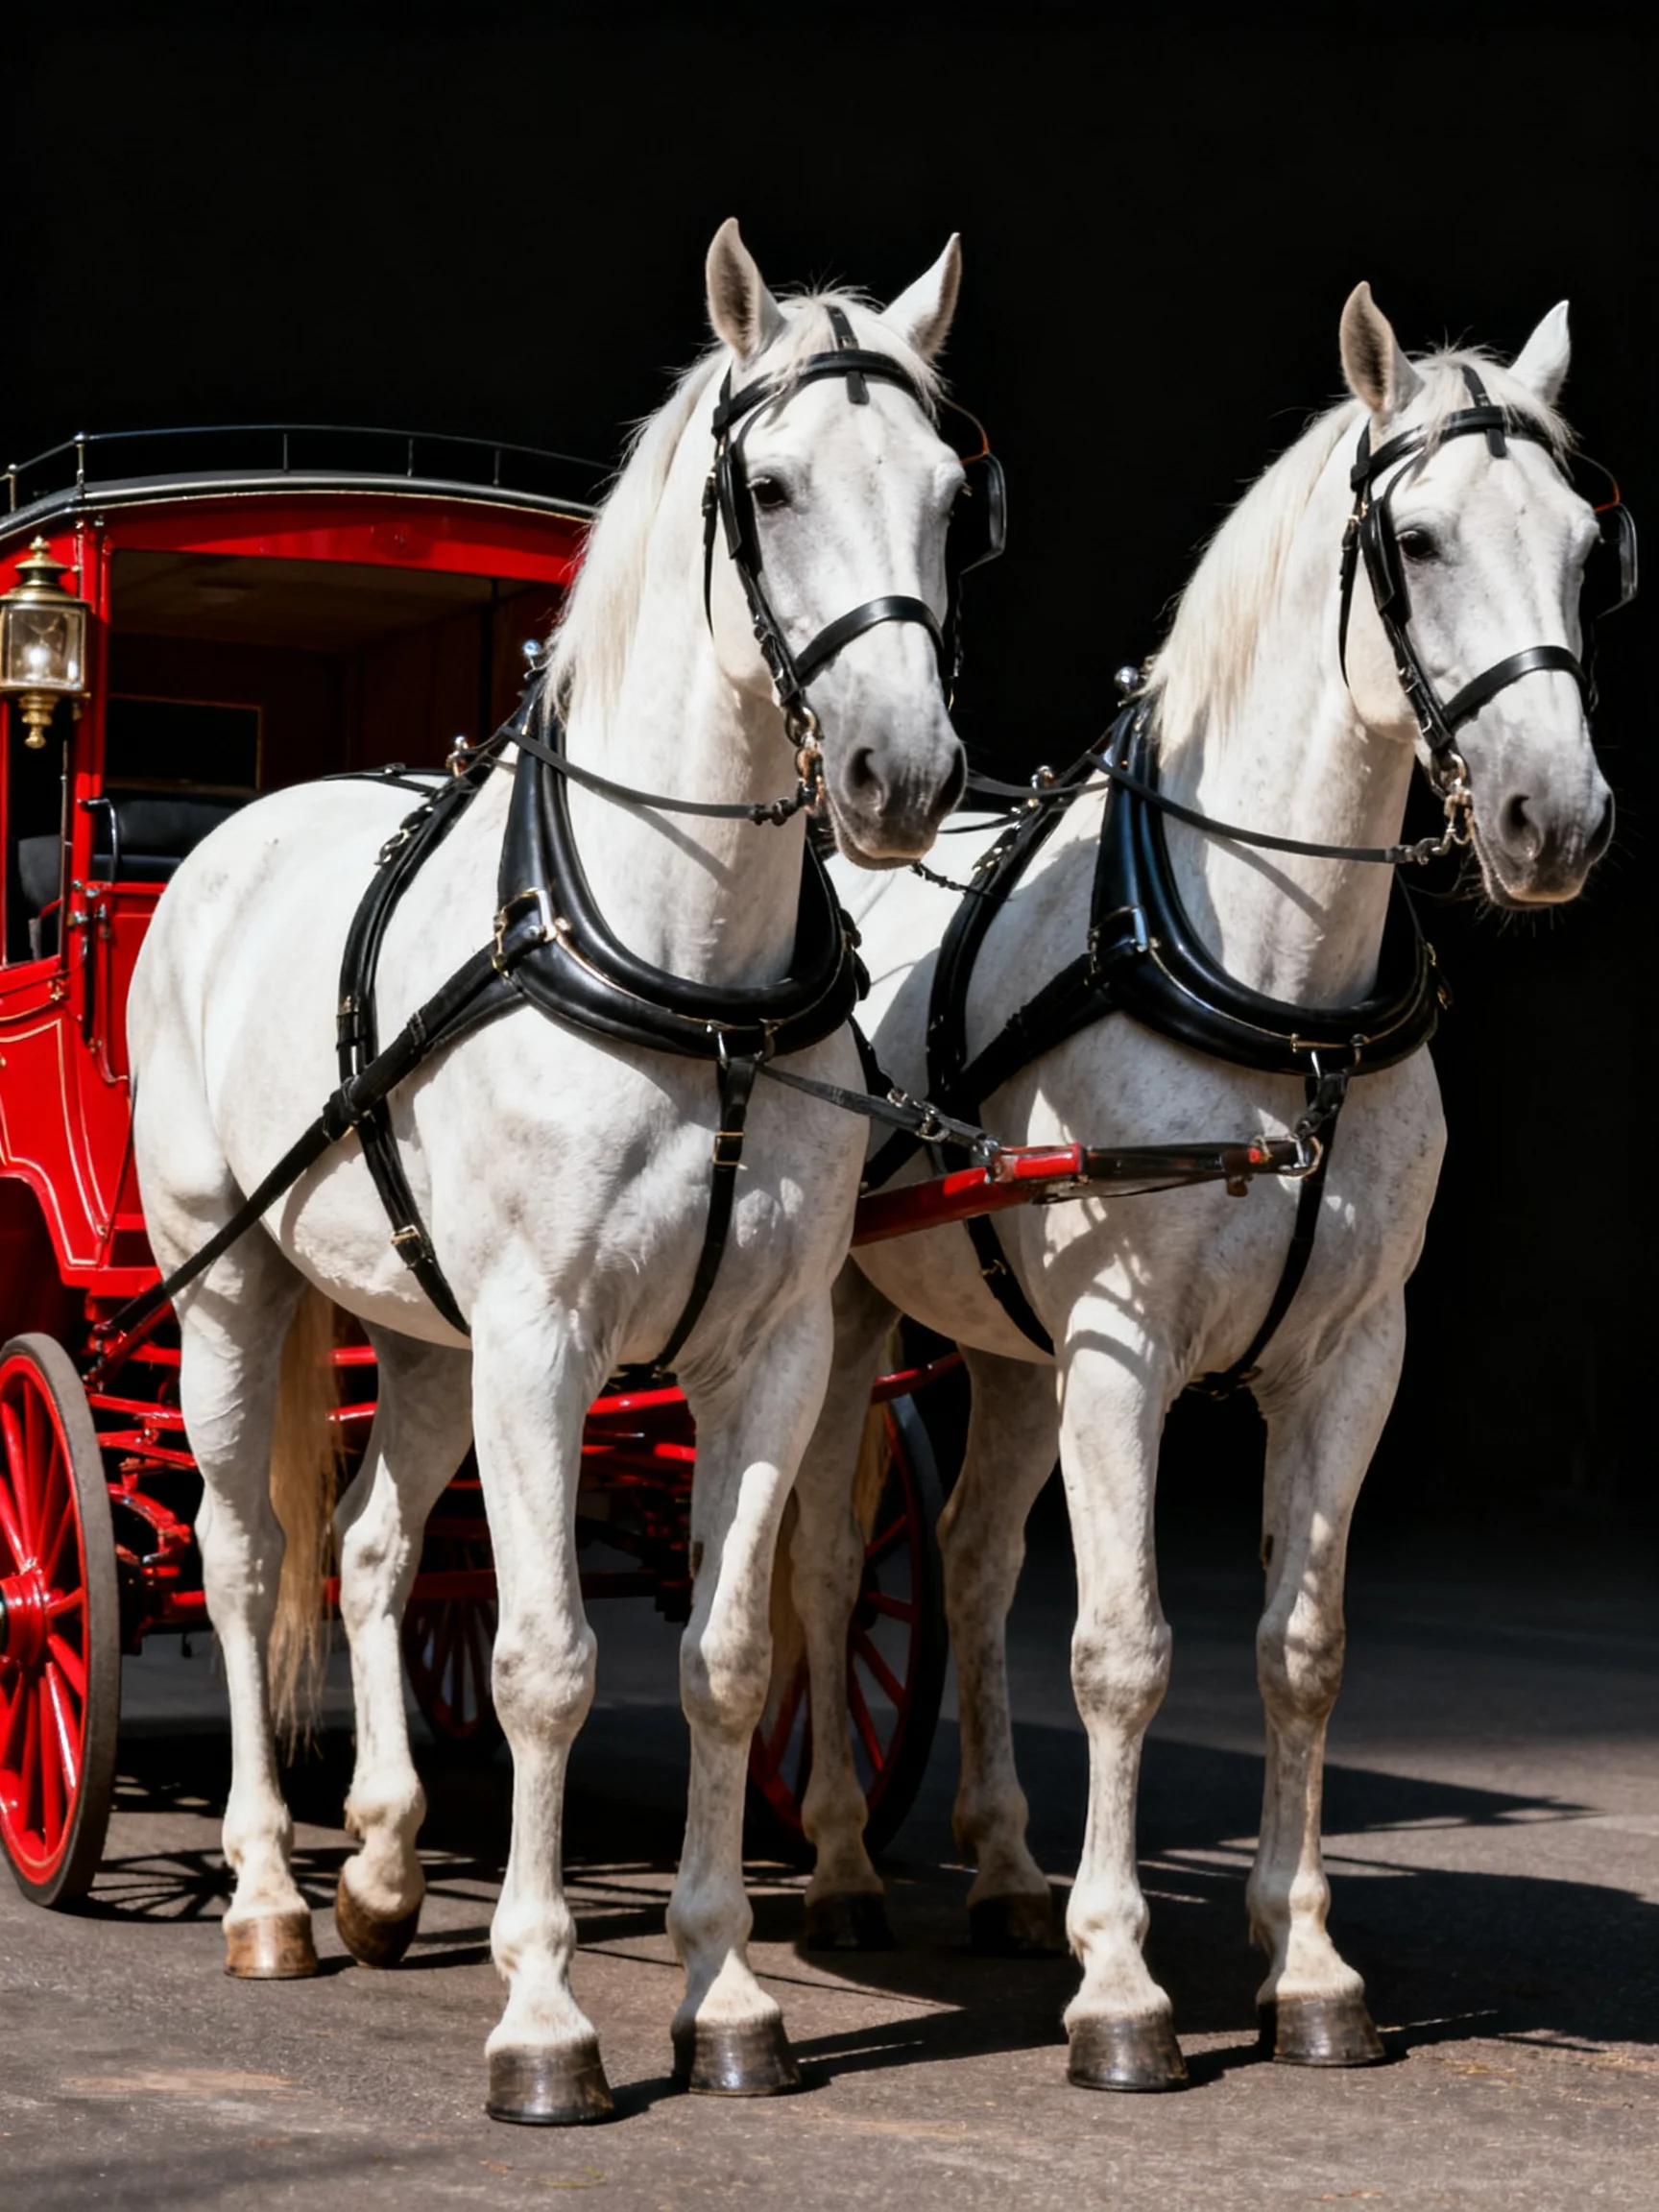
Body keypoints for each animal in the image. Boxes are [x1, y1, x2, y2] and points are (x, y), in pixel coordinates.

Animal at [127, 217, 977, 2124]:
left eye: (952, 494)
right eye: (771, 485)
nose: (902, 775)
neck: (691, 976)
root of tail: (227, 836)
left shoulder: (768, 1352)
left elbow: (731, 1659)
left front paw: (728, 1990)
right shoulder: (543, 1346)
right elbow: (545, 1663)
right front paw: (541, 2011)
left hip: (419, 1326)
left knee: (371, 1546)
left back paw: (376, 1864)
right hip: (230, 1283)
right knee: (240, 1556)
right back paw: (270, 1890)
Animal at [784, 285, 1620, 2090]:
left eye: (1588, 548)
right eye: (1421, 539)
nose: (1556, 818)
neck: (1274, 994)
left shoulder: (1348, 1358)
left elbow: (1297, 1653)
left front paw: (1304, 1963)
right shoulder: (1123, 1350)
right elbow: (1122, 1648)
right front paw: (1120, 1985)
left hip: (1010, 1351)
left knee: (965, 1561)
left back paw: (1007, 1871)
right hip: (836, 1313)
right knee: (819, 1559)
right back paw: (838, 1866)